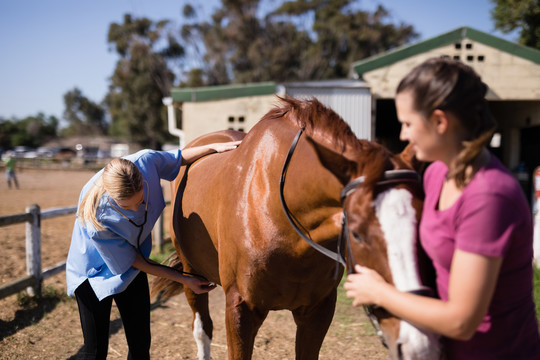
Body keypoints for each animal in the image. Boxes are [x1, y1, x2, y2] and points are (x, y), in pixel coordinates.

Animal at [152, 97, 438, 358]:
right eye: (356, 233)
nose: (418, 341)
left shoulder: (317, 311)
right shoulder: (240, 309)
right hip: (193, 277)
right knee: (202, 329)